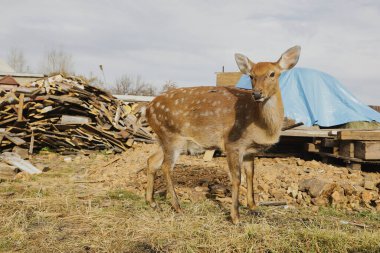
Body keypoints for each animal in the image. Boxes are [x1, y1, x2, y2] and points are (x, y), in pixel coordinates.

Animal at [147, 45, 302, 223]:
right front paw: (236, 216)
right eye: (251, 76)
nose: (257, 94)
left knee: (152, 161)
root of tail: (147, 109)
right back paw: (177, 206)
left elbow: (250, 174)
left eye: (272, 74)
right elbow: (236, 178)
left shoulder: (250, 150)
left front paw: (253, 206)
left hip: (163, 138)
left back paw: (152, 202)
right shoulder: (232, 144)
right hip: (172, 136)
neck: (262, 126)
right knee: (166, 167)